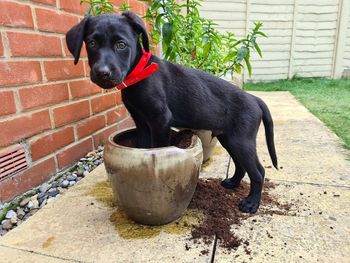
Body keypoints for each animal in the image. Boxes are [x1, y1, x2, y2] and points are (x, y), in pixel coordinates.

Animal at [66, 12, 278, 214]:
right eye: (92, 43)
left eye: (121, 45)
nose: (102, 73)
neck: (139, 74)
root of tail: (255, 99)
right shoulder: (142, 122)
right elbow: (144, 148)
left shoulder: (160, 120)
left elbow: (157, 149)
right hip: (229, 138)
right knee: (241, 165)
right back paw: (233, 182)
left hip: (241, 140)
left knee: (258, 172)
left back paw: (251, 203)